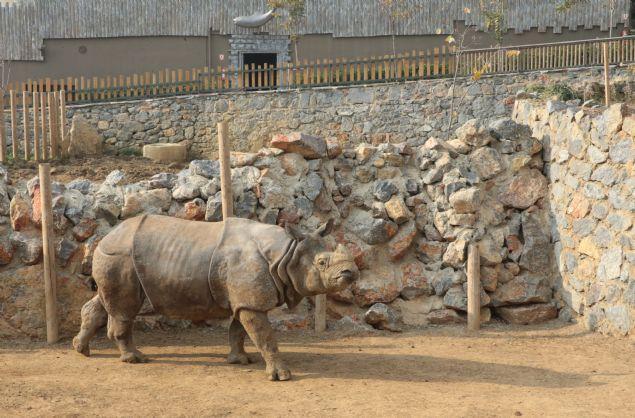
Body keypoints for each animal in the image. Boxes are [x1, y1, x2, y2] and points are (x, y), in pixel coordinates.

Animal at [72, 214, 360, 380]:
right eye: (322, 263)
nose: (351, 272)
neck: (286, 253)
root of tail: (106, 235)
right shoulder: (250, 302)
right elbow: (264, 336)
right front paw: (281, 376)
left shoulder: (243, 300)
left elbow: (239, 331)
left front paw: (240, 361)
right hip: (120, 256)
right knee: (124, 310)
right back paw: (135, 358)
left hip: (114, 255)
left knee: (104, 302)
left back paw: (81, 350)